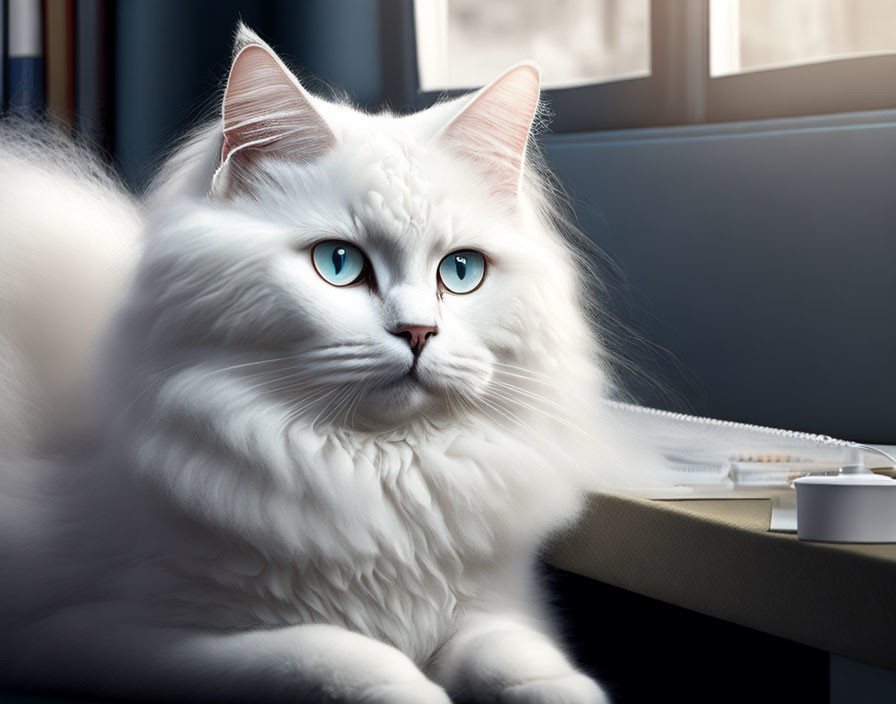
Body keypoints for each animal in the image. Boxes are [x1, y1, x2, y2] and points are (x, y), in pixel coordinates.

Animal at [0, 24, 656, 700]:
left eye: (461, 271)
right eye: (338, 263)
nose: (418, 332)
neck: (378, 482)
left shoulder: (497, 609)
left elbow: (521, 660)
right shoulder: (97, 636)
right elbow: (341, 657)